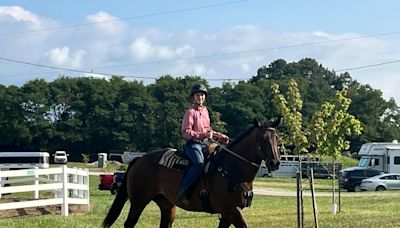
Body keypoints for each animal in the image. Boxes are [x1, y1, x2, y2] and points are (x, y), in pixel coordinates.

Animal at [103, 118, 282, 227]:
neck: (232, 169)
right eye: (263, 139)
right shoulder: (232, 210)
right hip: (138, 202)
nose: (275, 162)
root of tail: (139, 160)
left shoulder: (227, 214)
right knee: (129, 223)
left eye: (277, 139)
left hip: (167, 205)